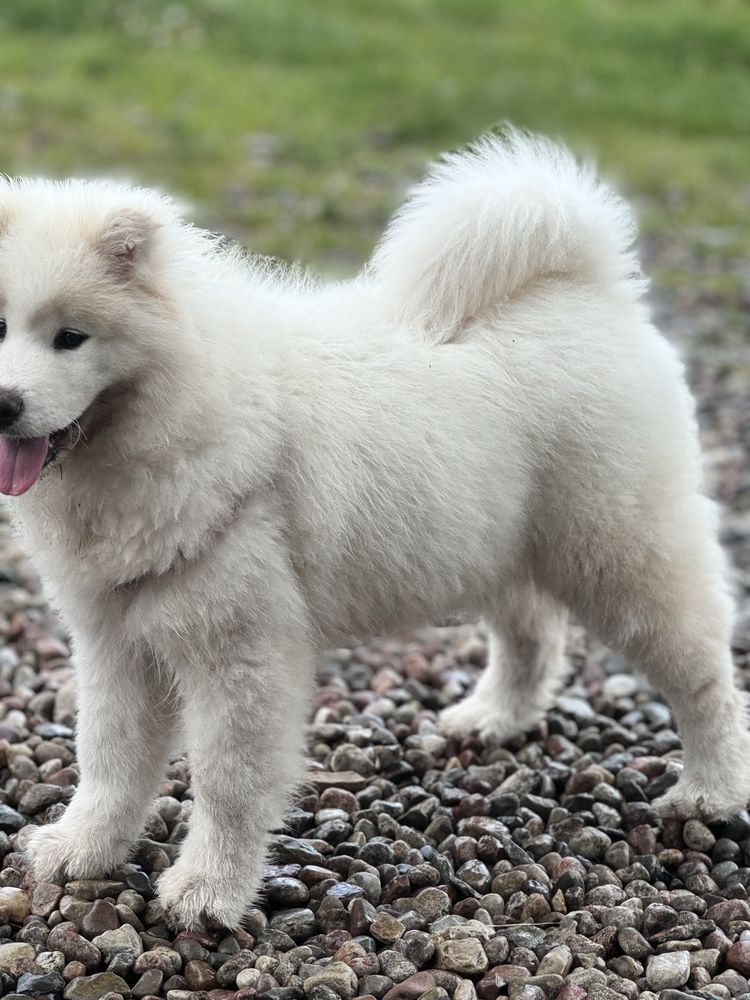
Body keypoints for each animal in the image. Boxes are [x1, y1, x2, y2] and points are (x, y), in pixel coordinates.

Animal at [0, 135, 748, 928]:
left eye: (70, 338)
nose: (4, 403)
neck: (179, 415)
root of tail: (586, 286)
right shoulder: (114, 639)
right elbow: (108, 759)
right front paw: (83, 850)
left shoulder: (240, 652)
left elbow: (228, 783)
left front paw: (209, 890)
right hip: (494, 543)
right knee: (533, 634)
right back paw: (494, 717)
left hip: (620, 554)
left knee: (703, 672)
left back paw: (711, 790)